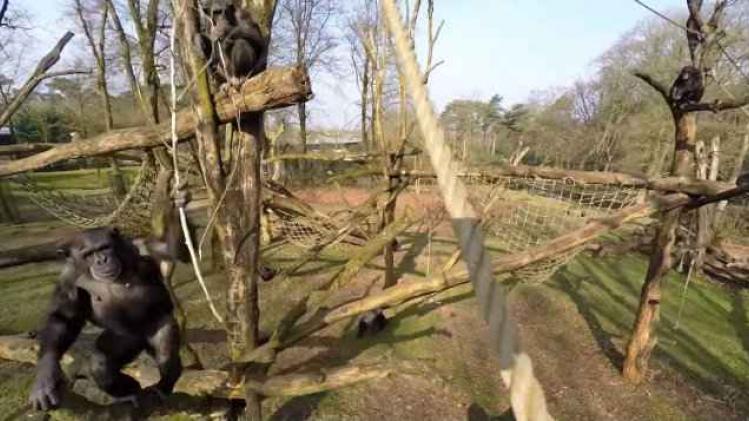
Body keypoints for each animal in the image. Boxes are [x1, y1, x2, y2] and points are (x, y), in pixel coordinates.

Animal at [28, 228, 183, 411]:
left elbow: (166, 250)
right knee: (101, 366)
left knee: (165, 352)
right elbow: (63, 319)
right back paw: (130, 391)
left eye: (104, 247)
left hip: (155, 325)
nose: (102, 260)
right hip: (126, 339)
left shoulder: (141, 248)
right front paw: (46, 377)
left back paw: (163, 385)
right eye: (88, 254)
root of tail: (142, 343)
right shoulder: (67, 279)